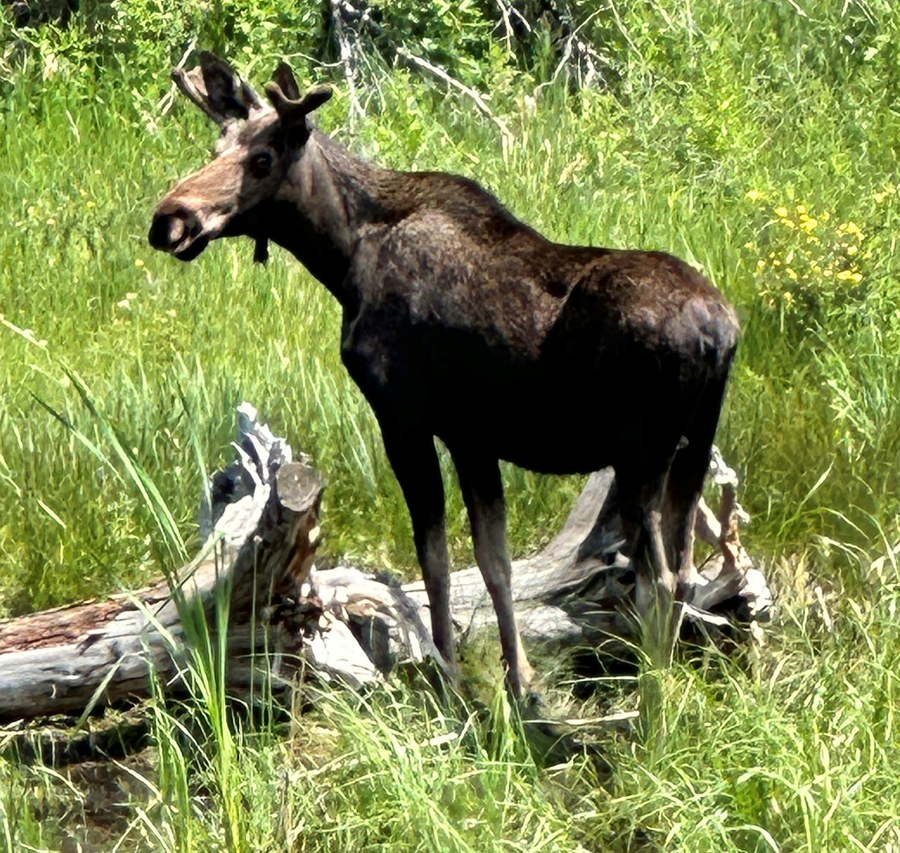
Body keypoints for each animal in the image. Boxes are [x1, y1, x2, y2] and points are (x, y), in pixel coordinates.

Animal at [149, 53, 740, 700]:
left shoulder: (403, 417)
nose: (169, 220)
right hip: (695, 446)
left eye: (261, 159)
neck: (342, 257)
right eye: (216, 146)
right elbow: (492, 561)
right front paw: (518, 681)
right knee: (686, 572)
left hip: (641, 455)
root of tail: (721, 331)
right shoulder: (472, 436)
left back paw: (652, 702)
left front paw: (447, 676)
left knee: (659, 581)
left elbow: (433, 555)